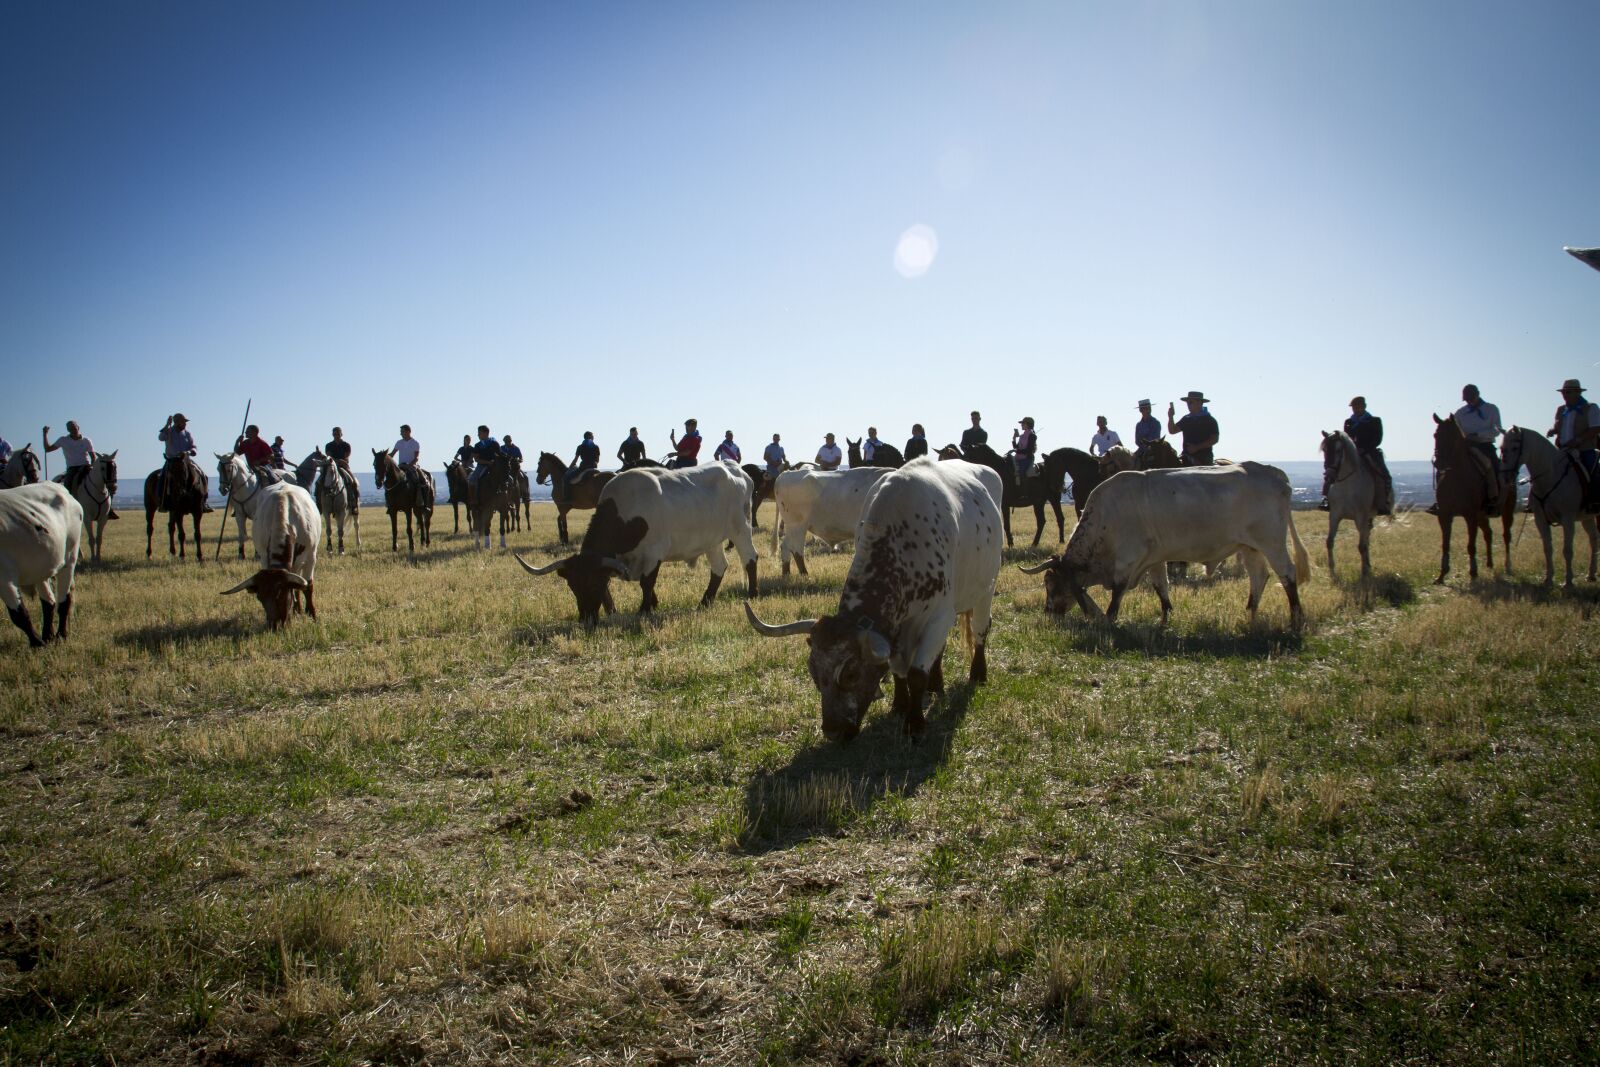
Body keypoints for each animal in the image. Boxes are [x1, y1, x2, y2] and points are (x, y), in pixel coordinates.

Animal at [1320, 430, 1383, 580]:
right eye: (1324, 449)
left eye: (1338, 450)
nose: (1329, 475)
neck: (1346, 485)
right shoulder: (1334, 515)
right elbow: (1329, 541)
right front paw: (1332, 572)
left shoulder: (1361, 516)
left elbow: (1361, 546)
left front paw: (1364, 573)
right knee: (1367, 537)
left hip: (1367, 517)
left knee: (1366, 539)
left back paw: (1367, 566)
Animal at [1431, 414, 1499, 583]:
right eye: (1435, 435)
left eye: (1452, 436)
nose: (1438, 463)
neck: (1457, 477)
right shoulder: (1444, 514)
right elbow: (1445, 544)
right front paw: (1442, 574)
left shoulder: (1470, 515)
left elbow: (1471, 545)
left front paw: (1473, 572)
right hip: (1481, 516)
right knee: (1488, 533)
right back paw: (1489, 563)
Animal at [1500, 426, 1598, 587]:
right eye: (1501, 448)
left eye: (1514, 447)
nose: (1504, 477)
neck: (1551, 475)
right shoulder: (1540, 519)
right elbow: (1547, 548)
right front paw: (1548, 579)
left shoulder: (1568, 519)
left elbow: (1567, 550)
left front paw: (1568, 581)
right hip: (1587, 517)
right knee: (1594, 539)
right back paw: (1591, 574)